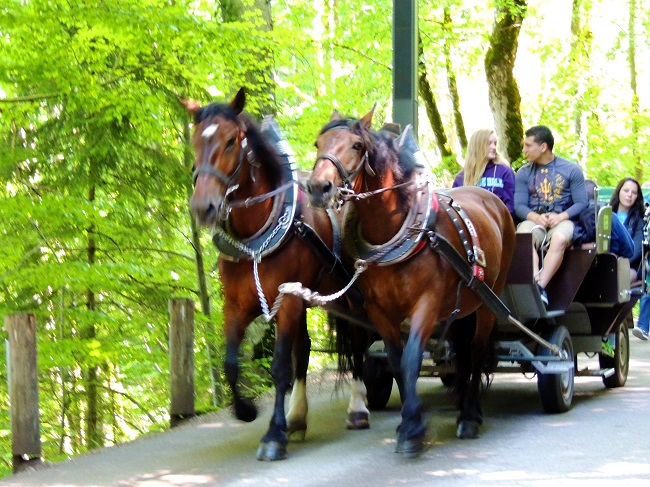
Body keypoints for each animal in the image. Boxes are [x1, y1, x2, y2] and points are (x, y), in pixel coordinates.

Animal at [182, 90, 370, 462]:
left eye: (231, 141)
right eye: (194, 141)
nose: (202, 207)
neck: (257, 234)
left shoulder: (290, 302)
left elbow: (280, 366)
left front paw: (272, 435)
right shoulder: (237, 305)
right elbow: (231, 364)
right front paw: (246, 411)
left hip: (348, 295)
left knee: (357, 341)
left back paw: (357, 407)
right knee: (306, 348)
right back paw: (297, 416)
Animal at [306, 109, 512, 458]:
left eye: (357, 145)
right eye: (319, 143)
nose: (318, 187)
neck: (395, 232)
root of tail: (490, 199)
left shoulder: (426, 304)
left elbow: (414, 356)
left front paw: (414, 429)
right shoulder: (380, 312)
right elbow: (397, 361)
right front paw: (407, 423)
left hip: (488, 300)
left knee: (477, 350)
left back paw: (470, 416)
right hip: (462, 307)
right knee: (463, 353)